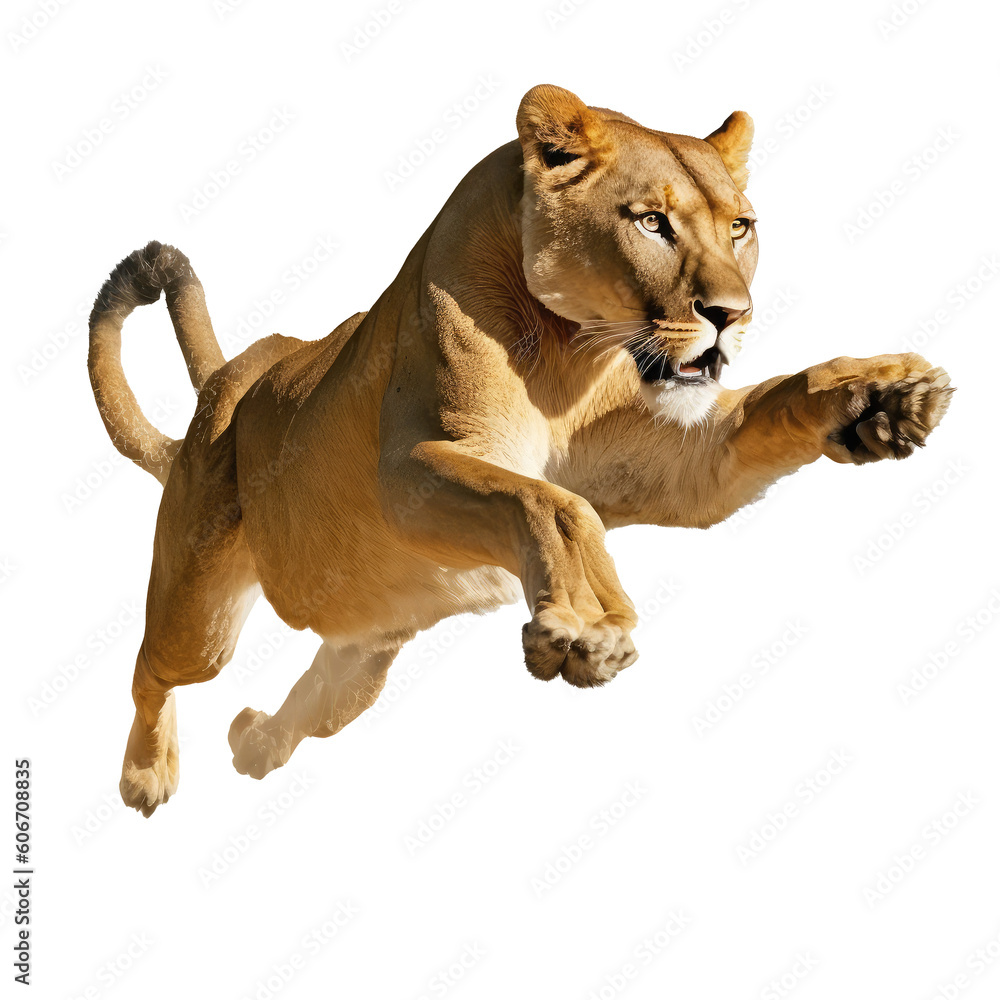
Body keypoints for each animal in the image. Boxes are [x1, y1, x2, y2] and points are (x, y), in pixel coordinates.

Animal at [87, 84, 952, 815]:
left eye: (739, 226)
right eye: (651, 223)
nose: (730, 315)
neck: (574, 355)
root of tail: (226, 384)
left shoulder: (679, 464)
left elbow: (772, 401)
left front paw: (883, 395)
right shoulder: (412, 468)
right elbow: (551, 501)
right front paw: (589, 622)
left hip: (364, 650)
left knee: (315, 703)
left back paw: (254, 740)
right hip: (203, 614)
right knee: (150, 668)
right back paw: (145, 773)